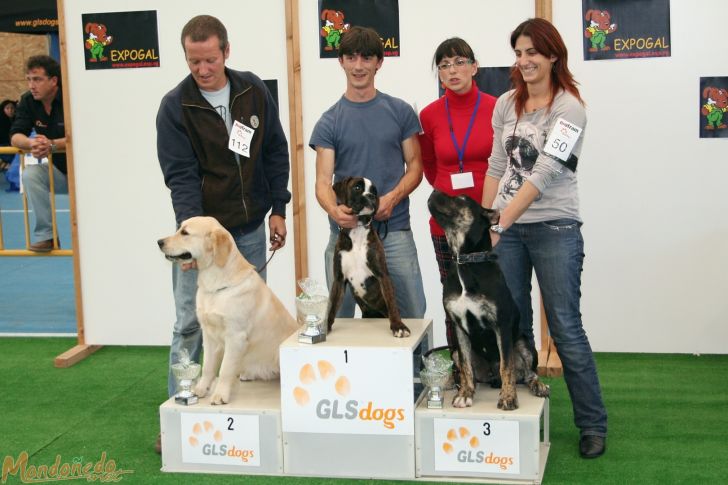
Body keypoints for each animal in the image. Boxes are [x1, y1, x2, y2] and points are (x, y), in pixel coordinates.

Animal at [158, 217, 298, 402]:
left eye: (185, 233)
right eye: (179, 228)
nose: (159, 242)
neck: (216, 285)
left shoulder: (235, 336)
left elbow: (225, 369)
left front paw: (220, 395)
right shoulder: (209, 335)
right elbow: (208, 366)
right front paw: (201, 389)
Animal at [328, 176, 412, 338]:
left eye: (374, 191)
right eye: (357, 188)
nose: (371, 196)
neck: (358, 229)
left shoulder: (382, 275)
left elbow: (392, 304)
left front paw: (398, 326)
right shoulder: (339, 279)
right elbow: (332, 306)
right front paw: (324, 327)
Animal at [426, 189, 544, 408]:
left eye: (462, 199)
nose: (434, 190)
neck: (466, 262)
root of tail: (491, 378)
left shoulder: (501, 325)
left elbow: (506, 366)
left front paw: (508, 397)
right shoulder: (458, 327)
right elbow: (466, 368)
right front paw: (465, 394)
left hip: (525, 345)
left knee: (528, 373)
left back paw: (538, 386)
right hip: (454, 351)